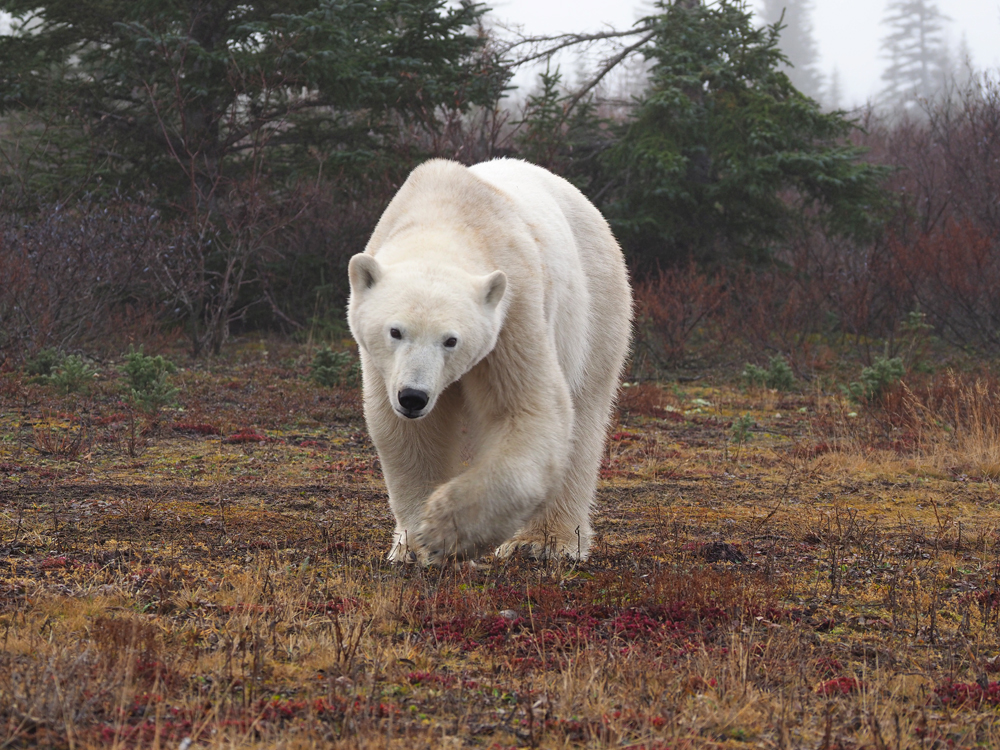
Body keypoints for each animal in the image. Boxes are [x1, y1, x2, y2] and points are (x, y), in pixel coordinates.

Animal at [348, 160, 628, 568]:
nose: (413, 397)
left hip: (597, 304)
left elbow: (525, 412)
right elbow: (411, 436)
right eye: (395, 331)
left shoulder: (514, 311)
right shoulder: (384, 367)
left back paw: (546, 542)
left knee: (584, 415)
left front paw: (441, 530)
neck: (445, 216)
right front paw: (412, 547)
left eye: (451, 340)